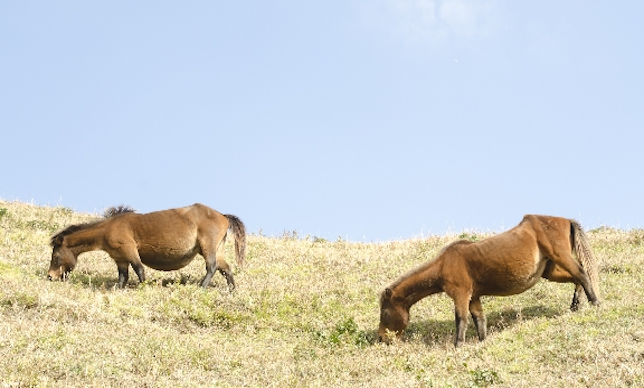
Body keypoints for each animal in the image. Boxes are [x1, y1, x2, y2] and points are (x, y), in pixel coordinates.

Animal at [47, 203, 247, 288]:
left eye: (55, 256)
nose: (50, 276)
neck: (107, 229)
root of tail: (223, 216)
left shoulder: (129, 250)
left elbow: (139, 270)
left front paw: (144, 287)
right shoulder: (120, 258)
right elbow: (123, 277)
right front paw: (117, 289)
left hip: (207, 247)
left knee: (211, 266)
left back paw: (201, 286)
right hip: (217, 249)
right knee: (226, 268)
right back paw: (231, 289)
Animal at [380, 217, 600, 348]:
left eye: (385, 313)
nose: (381, 338)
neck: (444, 264)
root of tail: (566, 220)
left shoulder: (461, 294)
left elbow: (461, 320)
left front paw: (458, 347)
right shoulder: (474, 296)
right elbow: (480, 320)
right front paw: (482, 342)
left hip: (561, 257)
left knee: (582, 273)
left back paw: (595, 303)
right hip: (551, 270)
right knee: (577, 278)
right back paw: (575, 306)